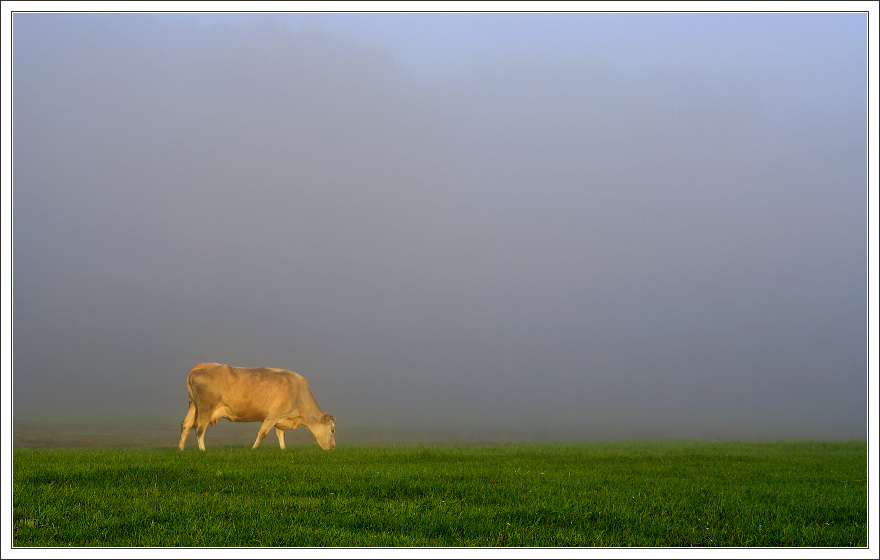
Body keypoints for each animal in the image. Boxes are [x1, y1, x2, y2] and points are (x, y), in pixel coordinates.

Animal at [178, 362, 337, 451]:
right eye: (332, 430)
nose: (334, 447)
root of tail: (202, 365)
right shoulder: (273, 415)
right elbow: (262, 433)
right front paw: (253, 449)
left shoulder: (280, 418)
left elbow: (281, 434)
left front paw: (283, 449)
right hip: (206, 407)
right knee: (199, 427)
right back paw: (202, 450)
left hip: (193, 405)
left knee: (186, 425)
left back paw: (180, 449)